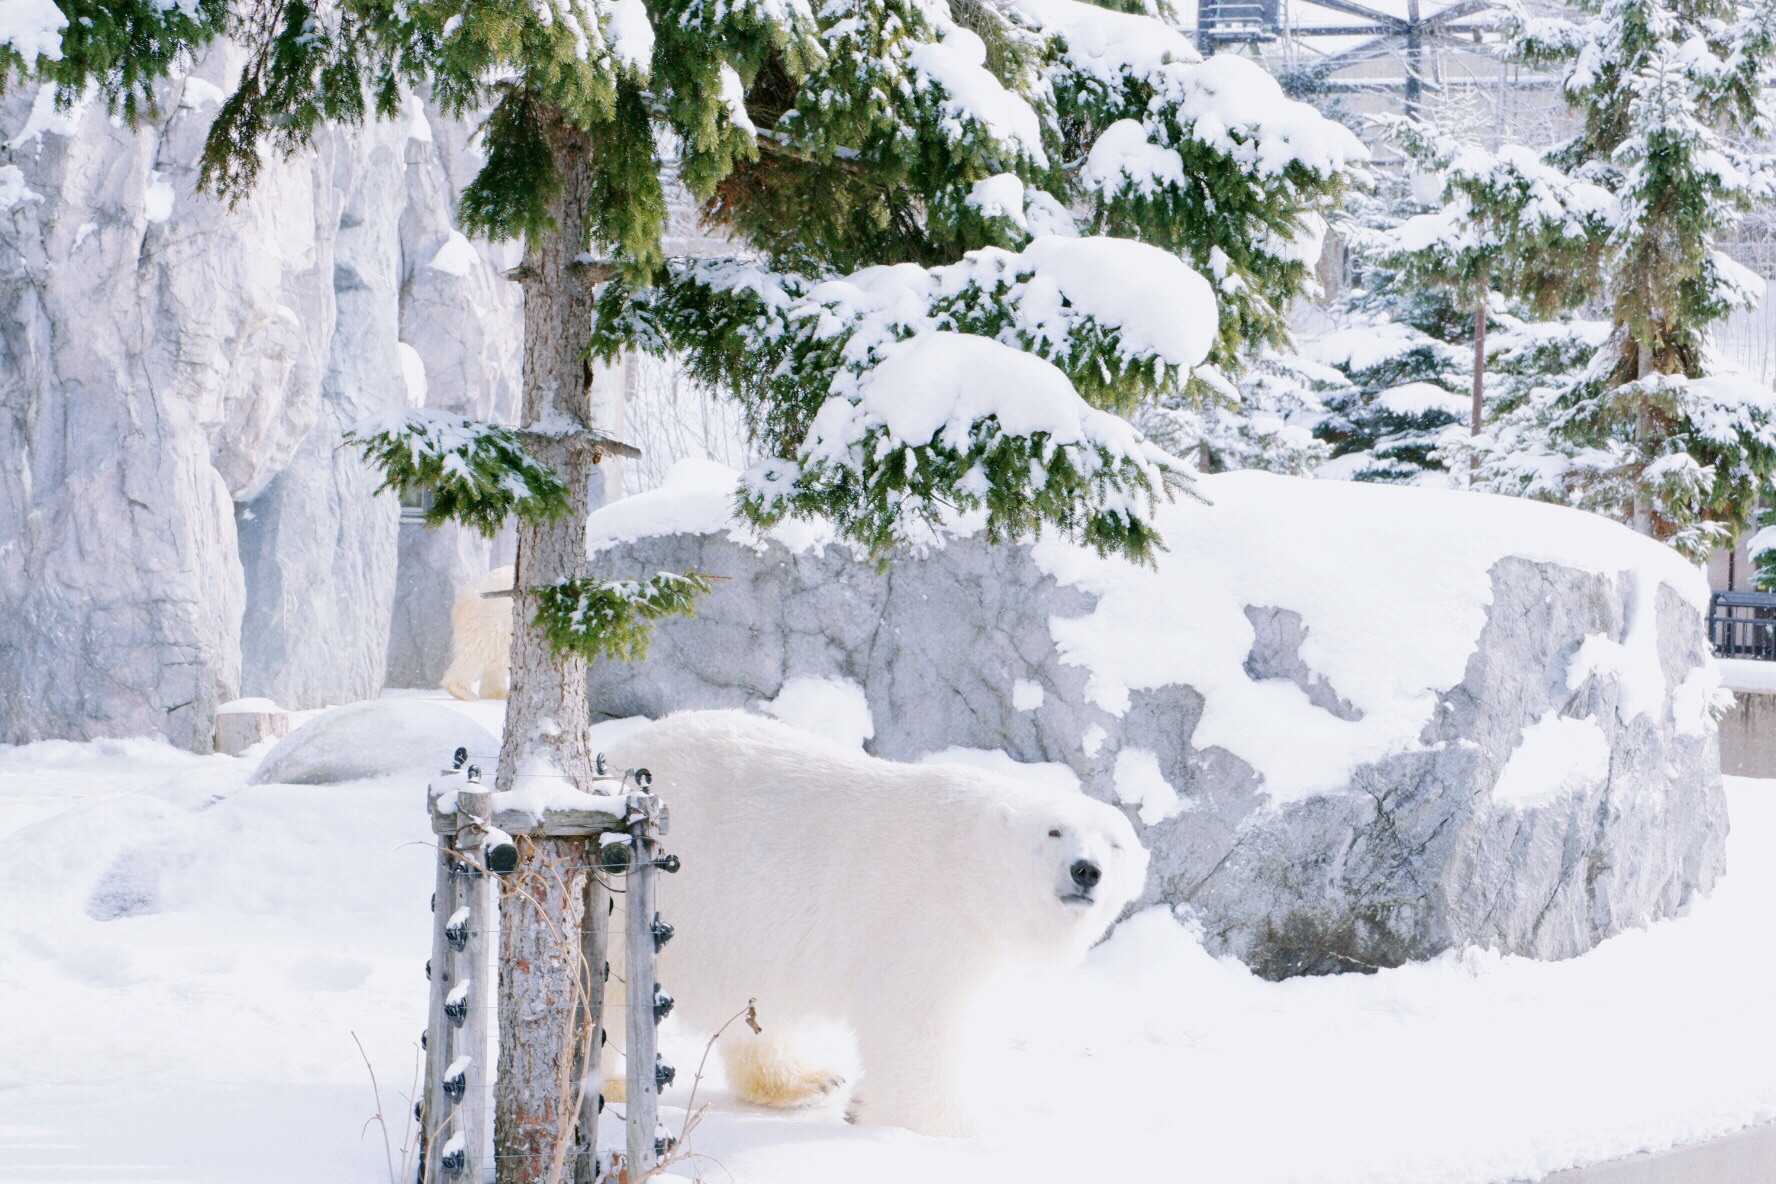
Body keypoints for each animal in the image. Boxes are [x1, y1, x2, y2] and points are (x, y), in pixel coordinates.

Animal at [600, 710, 1150, 1136]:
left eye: (1115, 845)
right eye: (1054, 832)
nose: (1086, 870)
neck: (970, 867)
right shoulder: (924, 918)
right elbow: (915, 1021)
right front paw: (950, 1128)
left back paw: (810, 1079)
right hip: (636, 890)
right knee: (606, 992)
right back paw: (616, 1084)